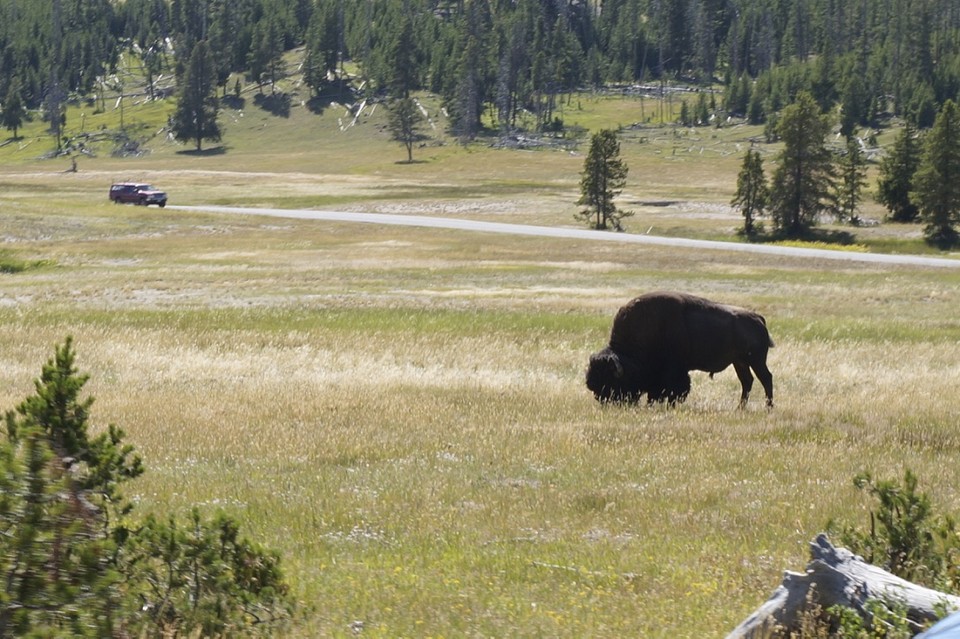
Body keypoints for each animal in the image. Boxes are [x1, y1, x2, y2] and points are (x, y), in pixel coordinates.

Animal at [586, 292, 774, 408]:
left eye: (611, 381)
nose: (602, 400)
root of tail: (758, 318)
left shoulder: (675, 371)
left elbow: (676, 389)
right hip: (740, 362)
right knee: (747, 381)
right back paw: (740, 408)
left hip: (756, 360)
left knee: (766, 378)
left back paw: (768, 407)